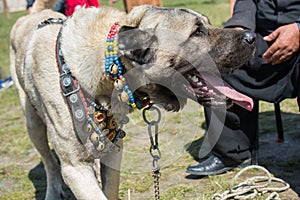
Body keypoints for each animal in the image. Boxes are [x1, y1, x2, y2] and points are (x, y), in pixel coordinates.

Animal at [10, 0, 255, 199]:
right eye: (197, 32)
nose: (252, 37)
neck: (107, 65)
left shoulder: (114, 152)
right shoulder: (75, 168)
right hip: (33, 126)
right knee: (50, 164)